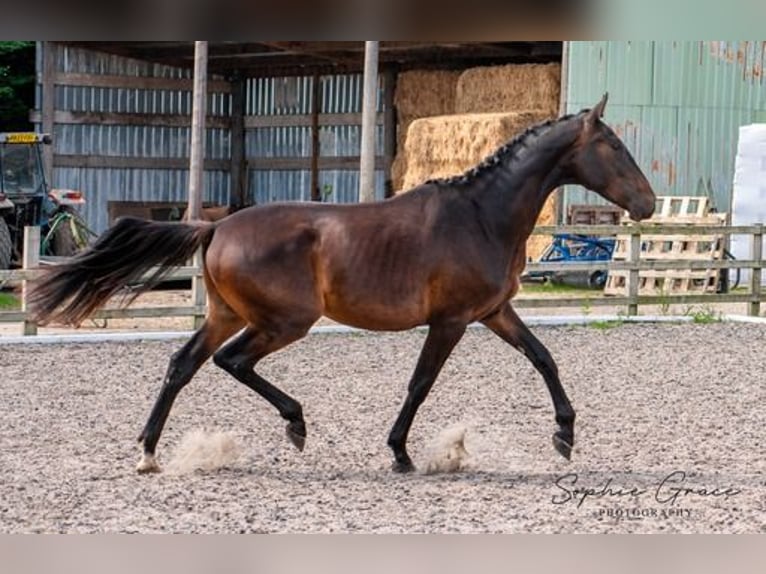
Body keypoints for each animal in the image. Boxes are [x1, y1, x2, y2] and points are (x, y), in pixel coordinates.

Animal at [28, 94, 656, 474]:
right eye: (614, 147)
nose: (649, 204)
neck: (482, 215)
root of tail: (217, 225)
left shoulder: (494, 312)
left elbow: (544, 358)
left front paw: (565, 436)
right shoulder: (451, 321)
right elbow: (420, 384)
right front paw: (400, 453)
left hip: (227, 315)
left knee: (182, 365)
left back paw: (149, 454)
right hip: (283, 322)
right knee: (232, 362)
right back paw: (295, 424)